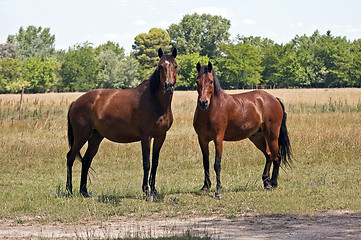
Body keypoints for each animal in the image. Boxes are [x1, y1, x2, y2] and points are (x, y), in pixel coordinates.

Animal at [66, 48, 179, 199]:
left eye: (175, 66)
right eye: (160, 66)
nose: (168, 86)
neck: (154, 101)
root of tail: (75, 102)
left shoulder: (161, 136)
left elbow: (155, 163)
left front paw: (154, 190)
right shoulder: (146, 137)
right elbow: (147, 163)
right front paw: (146, 190)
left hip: (95, 138)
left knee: (86, 160)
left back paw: (84, 191)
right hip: (81, 136)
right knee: (70, 158)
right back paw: (69, 190)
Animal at [193, 62, 292, 199]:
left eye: (211, 81)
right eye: (197, 81)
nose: (203, 102)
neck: (211, 111)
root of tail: (274, 99)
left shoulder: (218, 139)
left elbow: (217, 164)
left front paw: (218, 191)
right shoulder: (202, 140)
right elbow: (206, 163)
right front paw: (205, 187)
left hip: (272, 135)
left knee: (277, 156)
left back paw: (273, 183)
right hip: (257, 137)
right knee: (269, 155)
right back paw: (266, 182)